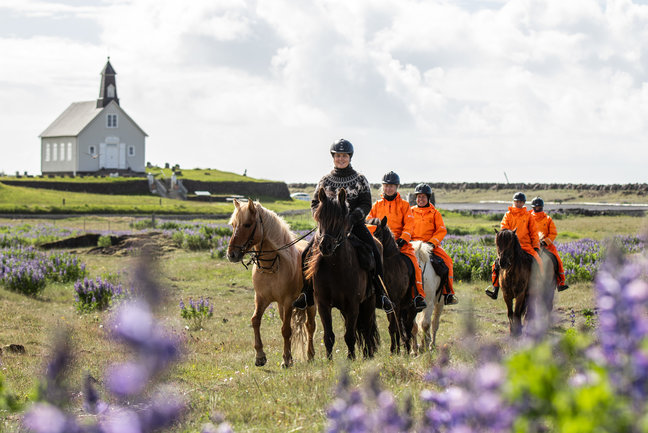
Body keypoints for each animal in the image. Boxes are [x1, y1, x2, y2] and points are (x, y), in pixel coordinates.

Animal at [228, 198, 316, 364]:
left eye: (247, 224)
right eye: (233, 225)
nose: (231, 254)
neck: (271, 267)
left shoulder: (288, 301)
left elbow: (286, 330)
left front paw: (286, 360)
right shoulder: (261, 299)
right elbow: (255, 321)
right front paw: (260, 356)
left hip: (310, 304)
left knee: (310, 326)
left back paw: (310, 355)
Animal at [308, 187, 382, 360]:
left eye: (340, 219)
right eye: (320, 217)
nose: (325, 246)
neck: (336, 268)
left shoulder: (353, 305)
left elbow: (350, 335)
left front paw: (351, 358)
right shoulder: (323, 304)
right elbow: (328, 336)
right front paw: (329, 360)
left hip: (369, 302)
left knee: (367, 329)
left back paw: (368, 354)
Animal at [368, 216, 418, 354]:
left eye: (377, 234)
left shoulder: (396, 303)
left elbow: (394, 327)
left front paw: (395, 350)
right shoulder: (389, 305)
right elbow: (393, 328)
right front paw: (394, 349)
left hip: (411, 308)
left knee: (408, 327)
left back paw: (408, 348)